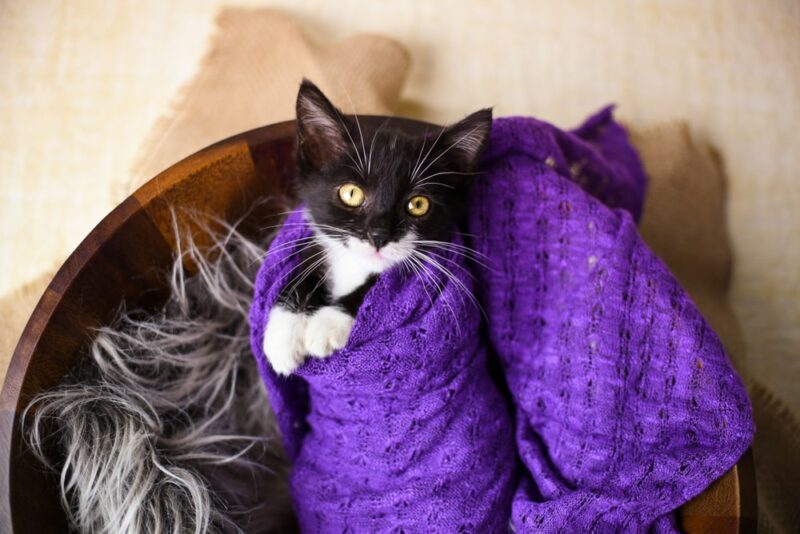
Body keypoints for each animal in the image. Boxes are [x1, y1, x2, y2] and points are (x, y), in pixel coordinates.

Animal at [264, 81, 488, 378]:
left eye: (418, 204)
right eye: (351, 193)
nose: (379, 235)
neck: (355, 266)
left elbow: (376, 292)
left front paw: (325, 325)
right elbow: (304, 267)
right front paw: (282, 334)